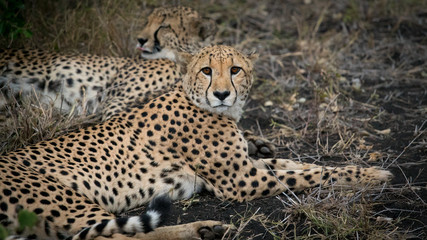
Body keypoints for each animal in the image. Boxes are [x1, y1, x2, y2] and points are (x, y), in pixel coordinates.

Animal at [0, 45, 392, 240]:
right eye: (206, 70)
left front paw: (362, 169)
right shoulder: (241, 182)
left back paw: (204, 229)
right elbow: (314, 175)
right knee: (116, 237)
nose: (221, 93)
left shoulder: (247, 167)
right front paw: (373, 176)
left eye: (235, 70)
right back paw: (200, 229)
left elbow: (299, 165)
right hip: (67, 205)